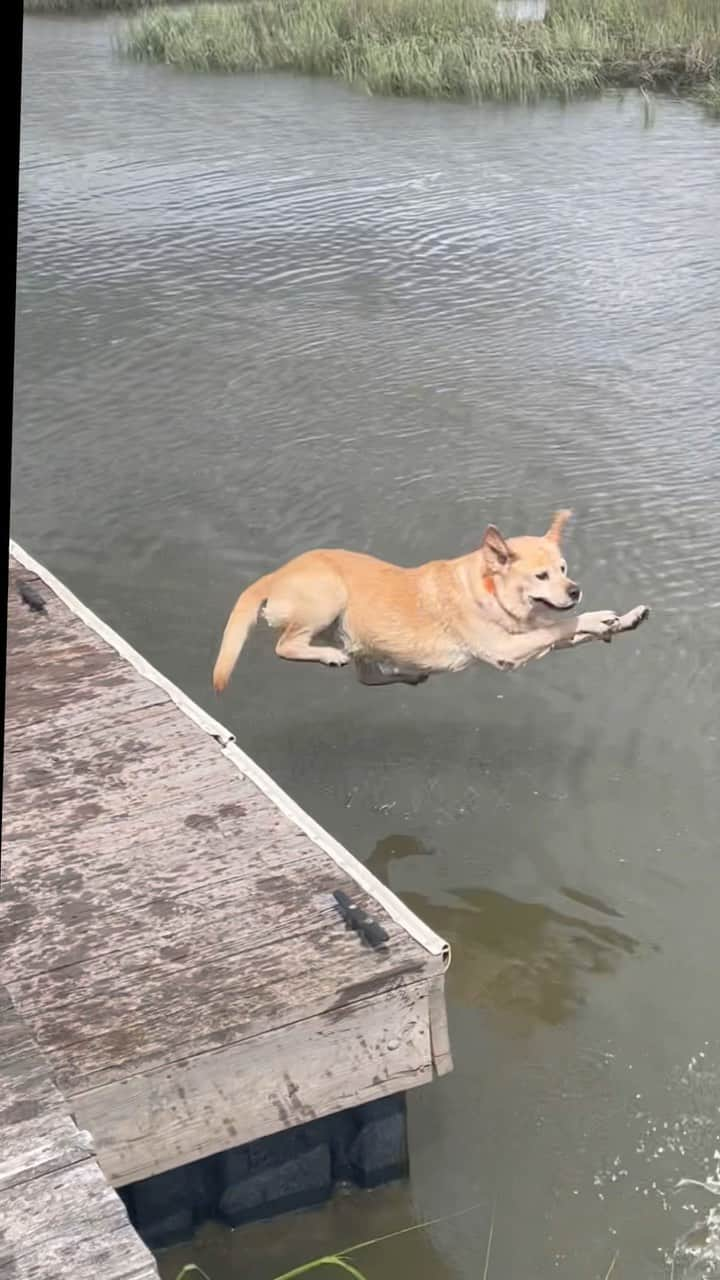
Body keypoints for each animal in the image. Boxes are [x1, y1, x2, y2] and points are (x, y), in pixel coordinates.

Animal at [211, 506, 645, 691]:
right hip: (328, 598)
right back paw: (328, 656)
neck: (487, 591)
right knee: (286, 646)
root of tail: (274, 576)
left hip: (359, 638)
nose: (575, 590)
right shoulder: (505, 649)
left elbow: (563, 632)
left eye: (565, 568)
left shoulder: (528, 637)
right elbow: (565, 625)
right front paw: (599, 616)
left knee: (367, 676)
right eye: (541, 576)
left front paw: (624, 620)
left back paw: (407, 674)